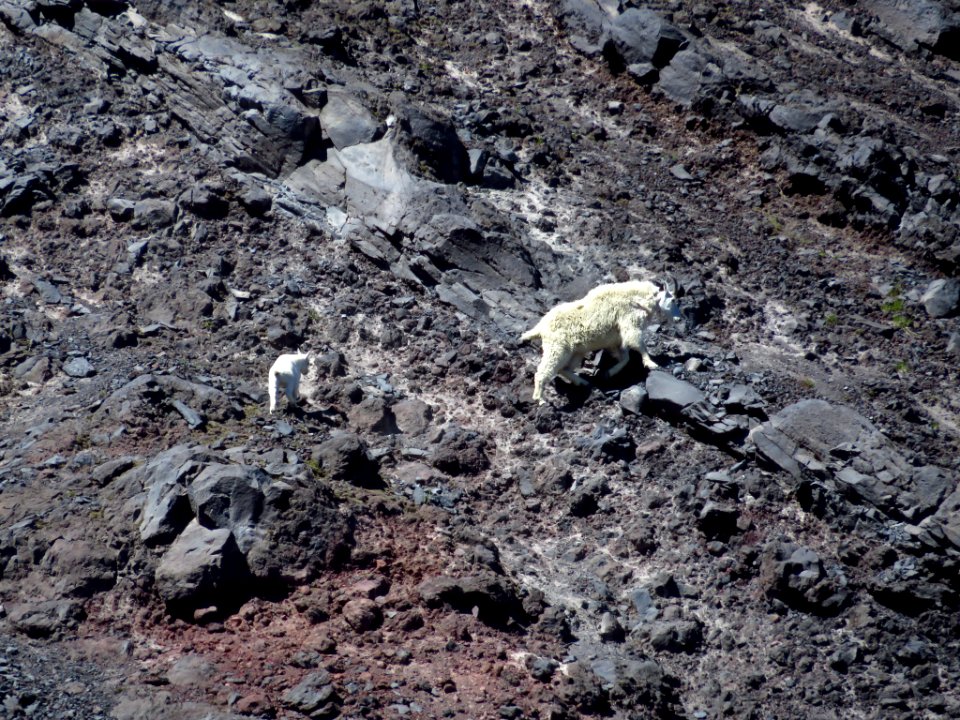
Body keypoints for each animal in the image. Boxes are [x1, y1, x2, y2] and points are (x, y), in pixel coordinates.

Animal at [516, 280, 684, 404]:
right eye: (673, 299)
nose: (678, 318)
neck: (639, 299)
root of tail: (541, 327)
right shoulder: (629, 324)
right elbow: (638, 344)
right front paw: (651, 363)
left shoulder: (616, 341)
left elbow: (625, 358)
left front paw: (609, 373)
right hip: (556, 347)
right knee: (544, 370)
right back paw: (540, 399)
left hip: (575, 351)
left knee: (564, 369)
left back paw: (582, 382)